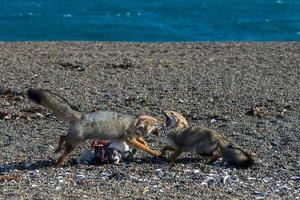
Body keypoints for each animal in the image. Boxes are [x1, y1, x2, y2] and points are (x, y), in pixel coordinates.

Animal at [26, 88, 162, 166]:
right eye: (156, 123)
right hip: (74, 142)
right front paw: (154, 152)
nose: (163, 122)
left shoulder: (133, 138)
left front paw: (149, 146)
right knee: (63, 148)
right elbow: (143, 147)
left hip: (73, 138)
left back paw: (58, 149)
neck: (134, 123)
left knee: (62, 136)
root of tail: (81, 115)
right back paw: (57, 163)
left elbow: (143, 143)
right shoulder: (129, 138)